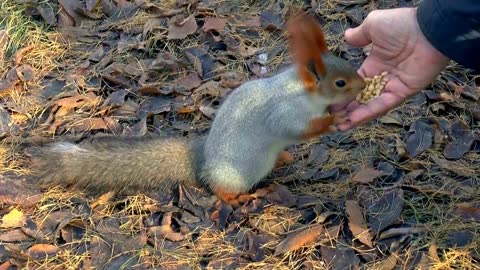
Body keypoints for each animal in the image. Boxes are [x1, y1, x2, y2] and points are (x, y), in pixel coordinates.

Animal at [30, 12, 366, 207]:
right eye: (339, 82)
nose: (363, 85)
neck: (300, 91)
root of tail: (202, 160)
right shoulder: (284, 113)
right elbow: (297, 129)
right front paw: (333, 119)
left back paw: (282, 157)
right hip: (237, 174)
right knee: (220, 188)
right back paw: (236, 198)